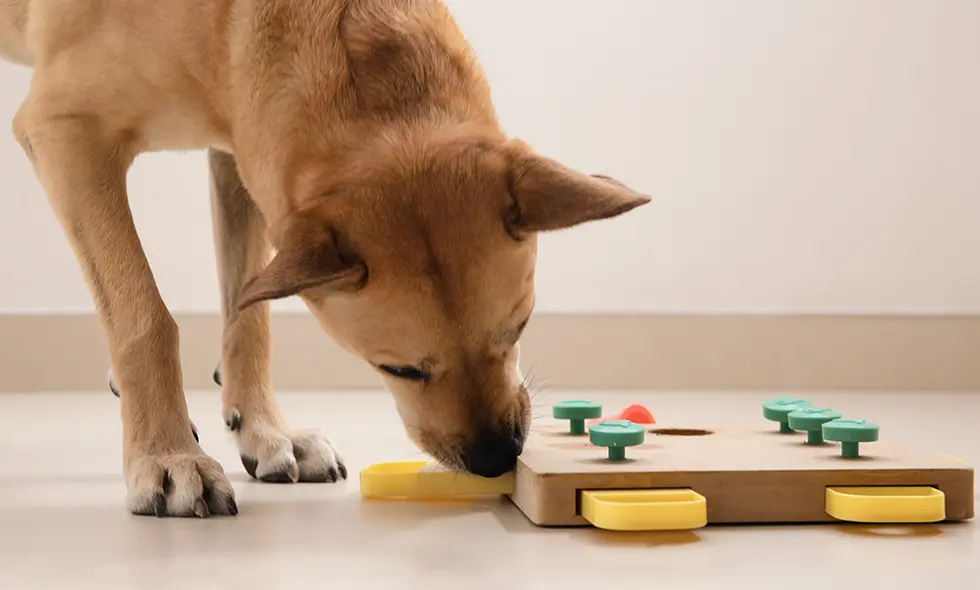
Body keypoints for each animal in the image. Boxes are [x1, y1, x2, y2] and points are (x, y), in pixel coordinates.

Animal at [1, 0, 652, 520]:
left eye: (518, 328)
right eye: (399, 370)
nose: (496, 458)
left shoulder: (243, 156)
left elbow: (248, 311)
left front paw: (265, 431)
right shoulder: (65, 133)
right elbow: (143, 314)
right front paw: (167, 455)